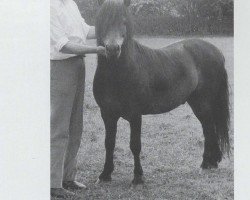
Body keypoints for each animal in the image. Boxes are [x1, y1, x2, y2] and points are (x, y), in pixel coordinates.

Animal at [93, 0, 229, 185]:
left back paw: (207, 163)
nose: (113, 49)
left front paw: (138, 177)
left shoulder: (135, 115)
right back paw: (209, 163)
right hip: (197, 102)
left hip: (203, 103)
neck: (118, 75)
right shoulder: (107, 114)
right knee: (208, 127)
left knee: (209, 127)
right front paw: (105, 174)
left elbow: (135, 145)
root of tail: (216, 51)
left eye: (124, 21)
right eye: (102, 20)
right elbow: (109, 143)